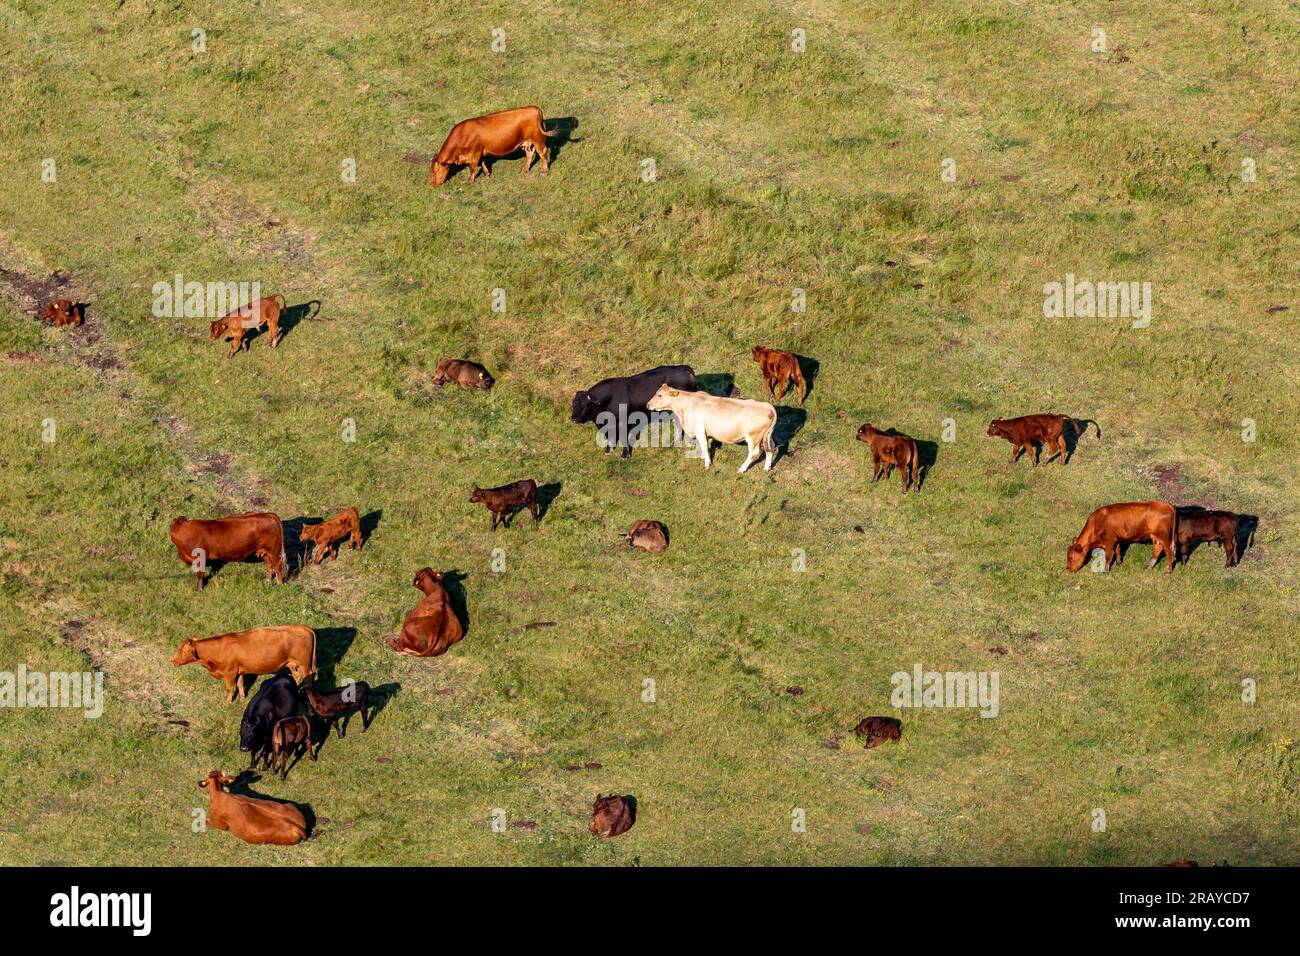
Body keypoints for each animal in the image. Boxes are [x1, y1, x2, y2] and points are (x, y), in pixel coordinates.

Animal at [172, 625, 317, 703]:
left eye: (182, 651)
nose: (172, 661)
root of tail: (304, 627)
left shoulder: (229, 672)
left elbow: (229, 688)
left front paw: (228, 702)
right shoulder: (239, 671)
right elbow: (240, 684)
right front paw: (242, 698)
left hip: (304, 664)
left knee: (308, 677)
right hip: (292, 664)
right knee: (297, 676)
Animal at [430, 106, 560, 185]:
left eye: (434, 172)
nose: (433, 184)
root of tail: (534, 108)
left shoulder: (475, 153)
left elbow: (472, 168)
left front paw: (470, 180)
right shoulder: (480, 152)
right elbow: (482, 163)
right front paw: (486, 174)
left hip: (538, 139)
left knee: (543, 153)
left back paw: (544, 171)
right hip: (529, 142)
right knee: (529, 154)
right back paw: (525, 170)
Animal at [646, 384, 778, 473]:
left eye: (660, 395)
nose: (648, 404)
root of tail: (767, 406)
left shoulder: (699, 430)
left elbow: (703, 446)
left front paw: (707, 464)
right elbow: (703, 446)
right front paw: (703, 457)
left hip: (754, 437)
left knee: (754, 453)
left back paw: (742, 469)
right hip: (767, 436)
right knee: (770, 449)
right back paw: (767, 468)